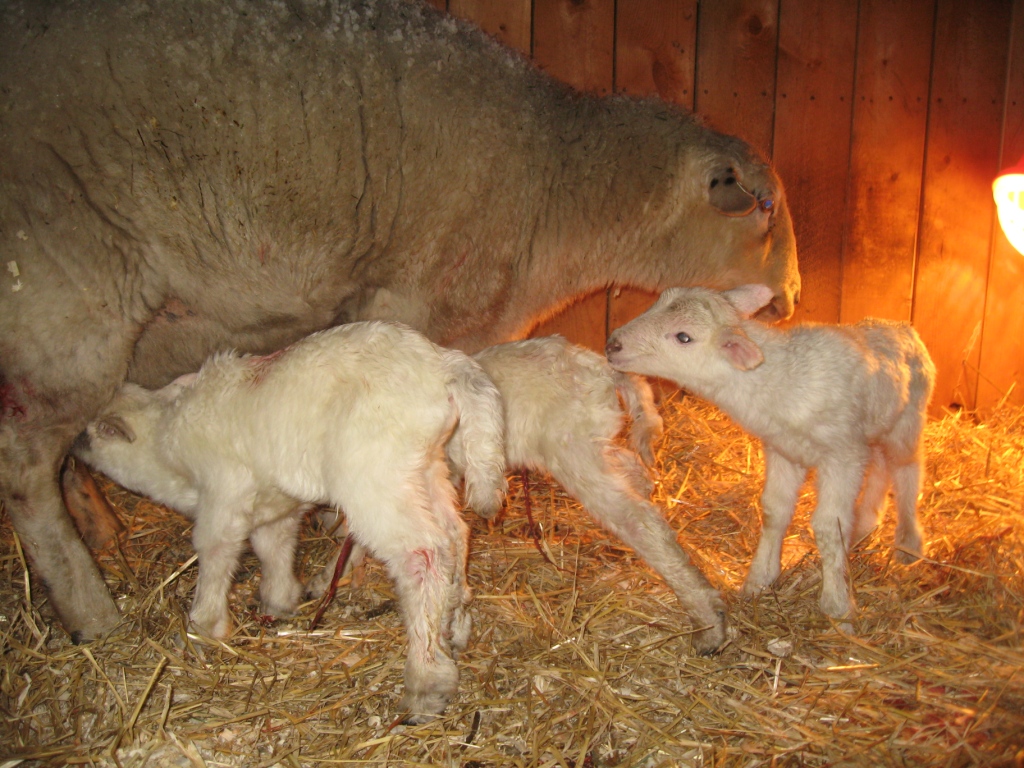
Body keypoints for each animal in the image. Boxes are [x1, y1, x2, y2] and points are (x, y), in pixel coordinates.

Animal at [1, 0, 799, 643]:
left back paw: (103, 533)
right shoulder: (416, 301)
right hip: (60, 291)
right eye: (763, 208)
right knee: (25, 465)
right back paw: (94, 611)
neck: (556, 182)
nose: (792, 296)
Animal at [73, 321, 507, 723]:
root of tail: (444, 365)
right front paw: (278, 600)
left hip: (375, 474)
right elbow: (274, 547)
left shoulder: (223, 495)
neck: (166, 446)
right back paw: (455, 625)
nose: (72, 447)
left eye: (93, 433)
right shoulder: (273, 504)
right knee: (455, 536)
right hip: (423, 466)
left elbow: (215, 550)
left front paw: (203, 626)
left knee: (423, 555)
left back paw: (426, 682)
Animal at [605, 285, 936, 625]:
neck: (783, 378)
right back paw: (866, 524)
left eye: (684, 337)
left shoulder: (843, 456)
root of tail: (901, 326)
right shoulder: (783, 451)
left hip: (908, 418)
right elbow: (774, 511)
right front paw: (760, 578)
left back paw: (908, 543)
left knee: (907, 469)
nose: (612, 344)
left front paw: (837, 603)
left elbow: (829, 526)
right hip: (879, 426)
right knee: (882, 467)